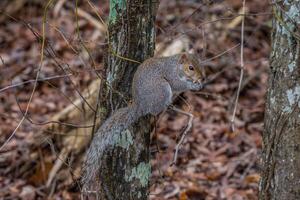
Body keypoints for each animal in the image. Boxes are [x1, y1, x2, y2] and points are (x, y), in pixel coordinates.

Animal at [82, 52, 205, 192]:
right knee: (155, 110)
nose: (202, 77)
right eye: (191, 68)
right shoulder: (171, 75)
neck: (176, 66)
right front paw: (194, 85)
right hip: (161, 90)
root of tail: (140, 105)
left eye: (200, 63)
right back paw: (167, 106)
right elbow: (178, 85)